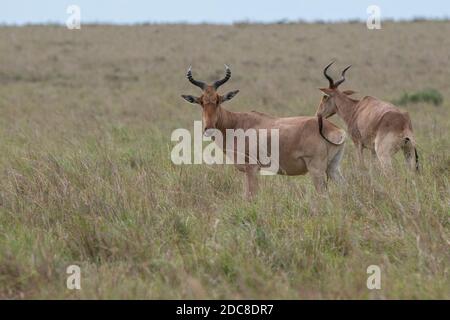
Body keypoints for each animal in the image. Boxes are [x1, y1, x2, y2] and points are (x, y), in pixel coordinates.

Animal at [181, 64, 346, 198]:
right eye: (201, 101)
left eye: (218, 100)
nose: (208, 129)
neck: (236, 122)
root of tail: (335, 129)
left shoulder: (252, 168)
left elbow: (251, 197)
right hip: (333, 168)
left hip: (316, 169)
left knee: (323, 195)